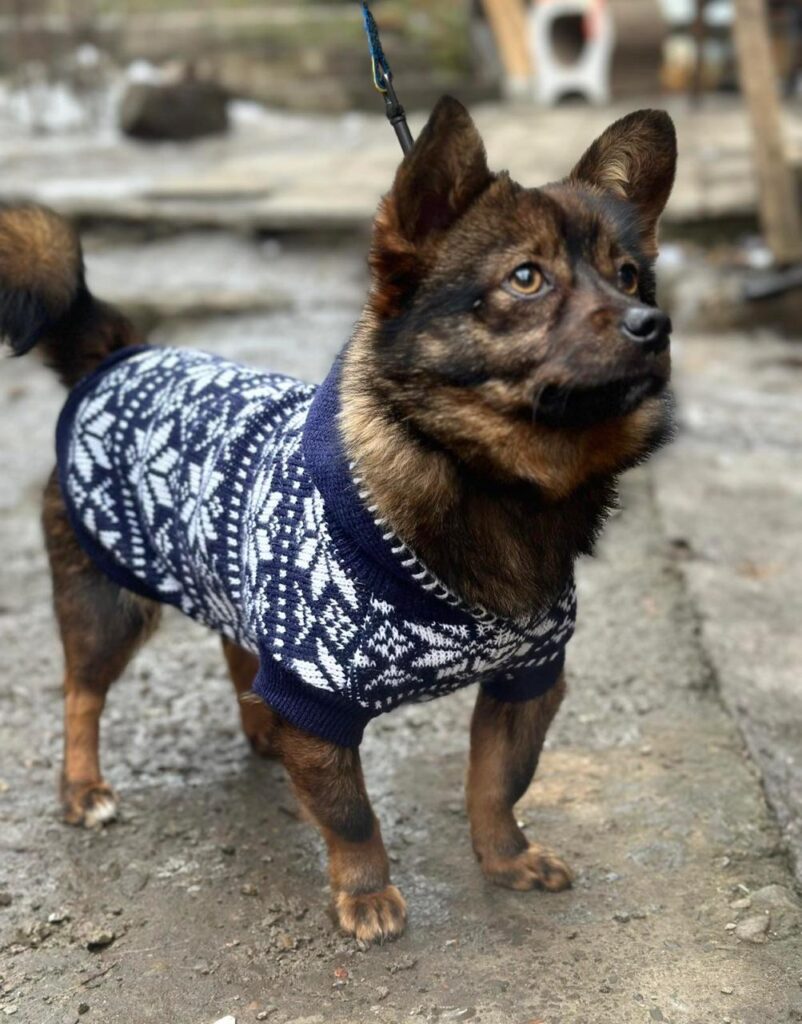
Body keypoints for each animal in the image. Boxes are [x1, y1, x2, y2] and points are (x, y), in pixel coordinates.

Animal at [0, 97, 676, 944]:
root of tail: (115, 355)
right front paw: (366, 893)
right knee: (80, 694)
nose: (653, 323)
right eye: (526, 278)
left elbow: (498, 783)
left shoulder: (528, 681)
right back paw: (82, 787)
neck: (496, 482)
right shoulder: (319, 699)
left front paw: (505, 858)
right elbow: (352, 815)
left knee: (236, 646)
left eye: (630, 275)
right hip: (107, 606)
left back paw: (259, 725)